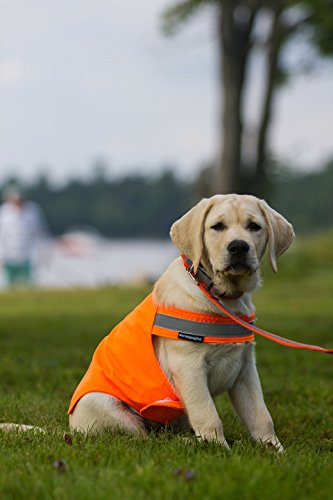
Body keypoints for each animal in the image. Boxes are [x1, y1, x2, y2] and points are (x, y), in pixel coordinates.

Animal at [68, 194, 292, 450]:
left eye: (254, 226)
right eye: (217, 226)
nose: (238, 246)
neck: (221, 296)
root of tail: (71, 429)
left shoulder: (245, 369)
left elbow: (261, 415)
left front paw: (275, 450)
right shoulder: (188, 366)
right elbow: (208, 414)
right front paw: (218, 448)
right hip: (104, 403)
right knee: (146, 438)